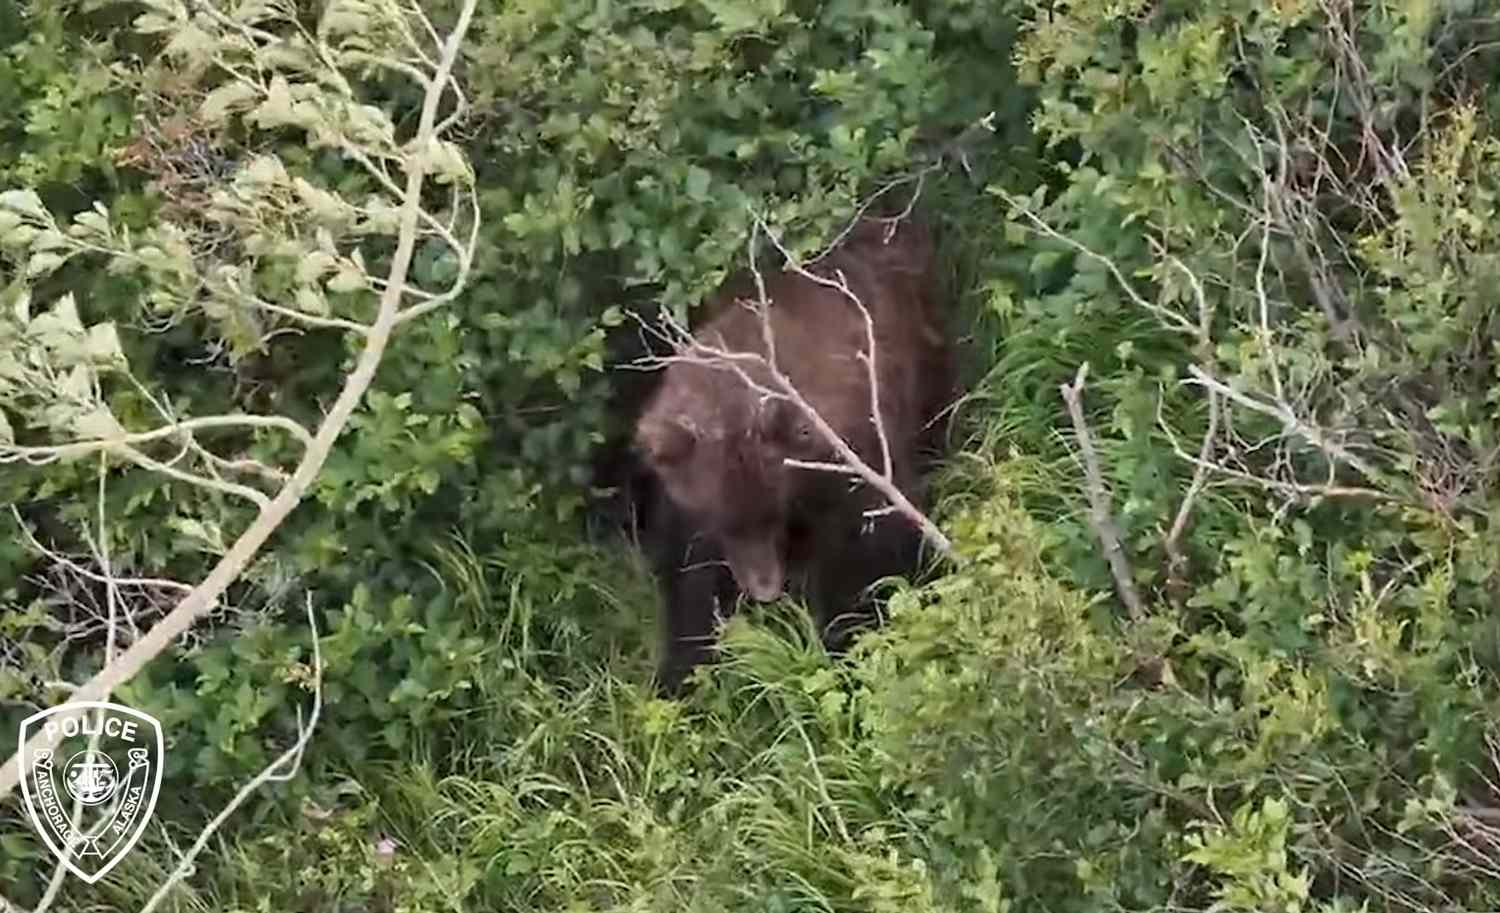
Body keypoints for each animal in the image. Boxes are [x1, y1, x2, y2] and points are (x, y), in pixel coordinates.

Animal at [630, 215, 954, 695]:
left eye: (772, 513)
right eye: (723, 521)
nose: (764, 589)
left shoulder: (846, 459)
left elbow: (865, 553)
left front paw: (845, 640)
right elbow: (687, 582)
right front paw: (679, 672)